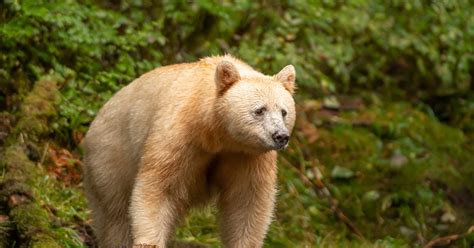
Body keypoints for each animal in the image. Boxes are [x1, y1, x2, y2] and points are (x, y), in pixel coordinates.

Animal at [82, 54, 296, 248]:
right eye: (260, 110)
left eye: (284, 112)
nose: (280, 136)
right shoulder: (180, 137)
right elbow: (158, 188)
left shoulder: (246, 156)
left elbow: (246, 201)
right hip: (110, 156)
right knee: (115, 214)